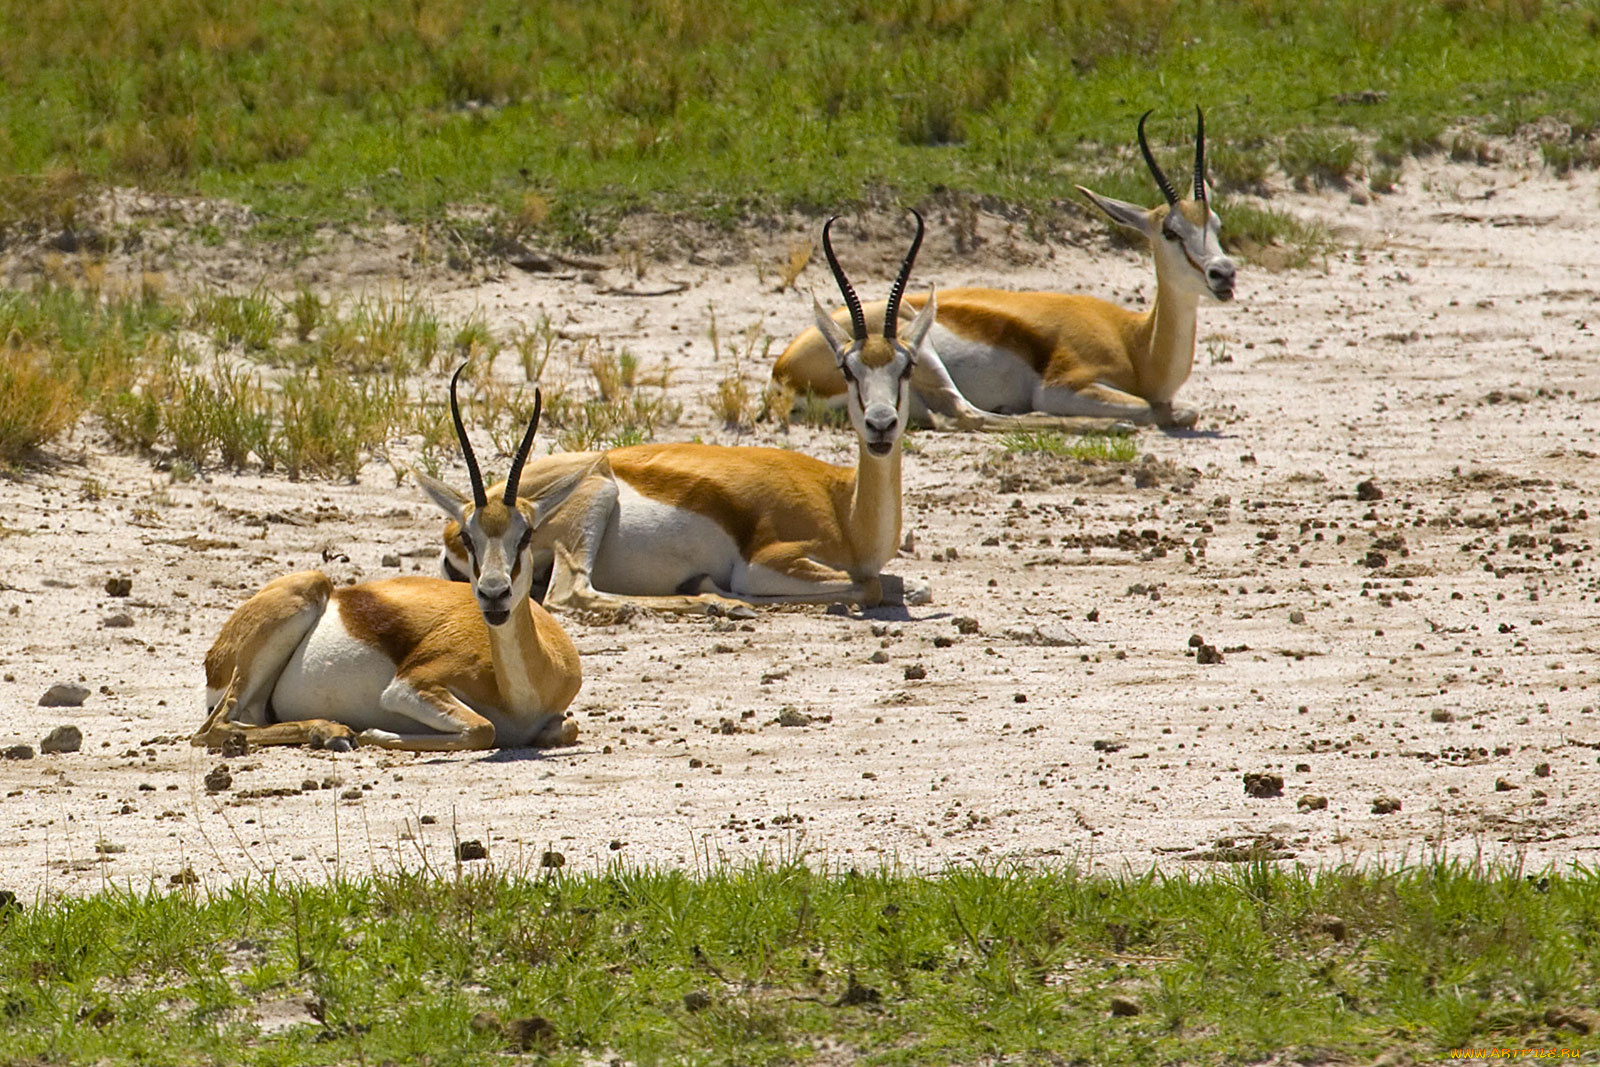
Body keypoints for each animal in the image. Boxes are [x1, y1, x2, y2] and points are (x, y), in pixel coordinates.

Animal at [192, 371, 582, 755]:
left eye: (527, 534)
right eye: (468, 537)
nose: (494, 594)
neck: (522, 693)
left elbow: (566, 727)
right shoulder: (407, 687)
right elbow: (483, 730)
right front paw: (373, 733)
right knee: (211, 729)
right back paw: (334, 731)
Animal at [435, 211, 934, 614]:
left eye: (906, 365)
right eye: (846, 369)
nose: (880, 425)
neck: (843, 508)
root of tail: (459, 522)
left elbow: (899, 583)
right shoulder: (767, 563)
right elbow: (867, 585)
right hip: (596, 496)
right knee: (572, 593)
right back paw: (714, 600)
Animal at [771, 111, 1235, 435]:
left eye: (1215, 224)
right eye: (1171, 231)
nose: (1224, 274)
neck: (1137, 343)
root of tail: (782, 371)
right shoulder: (1062, 386)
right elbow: (1166, 409)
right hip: (924, 354)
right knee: (968, 416)